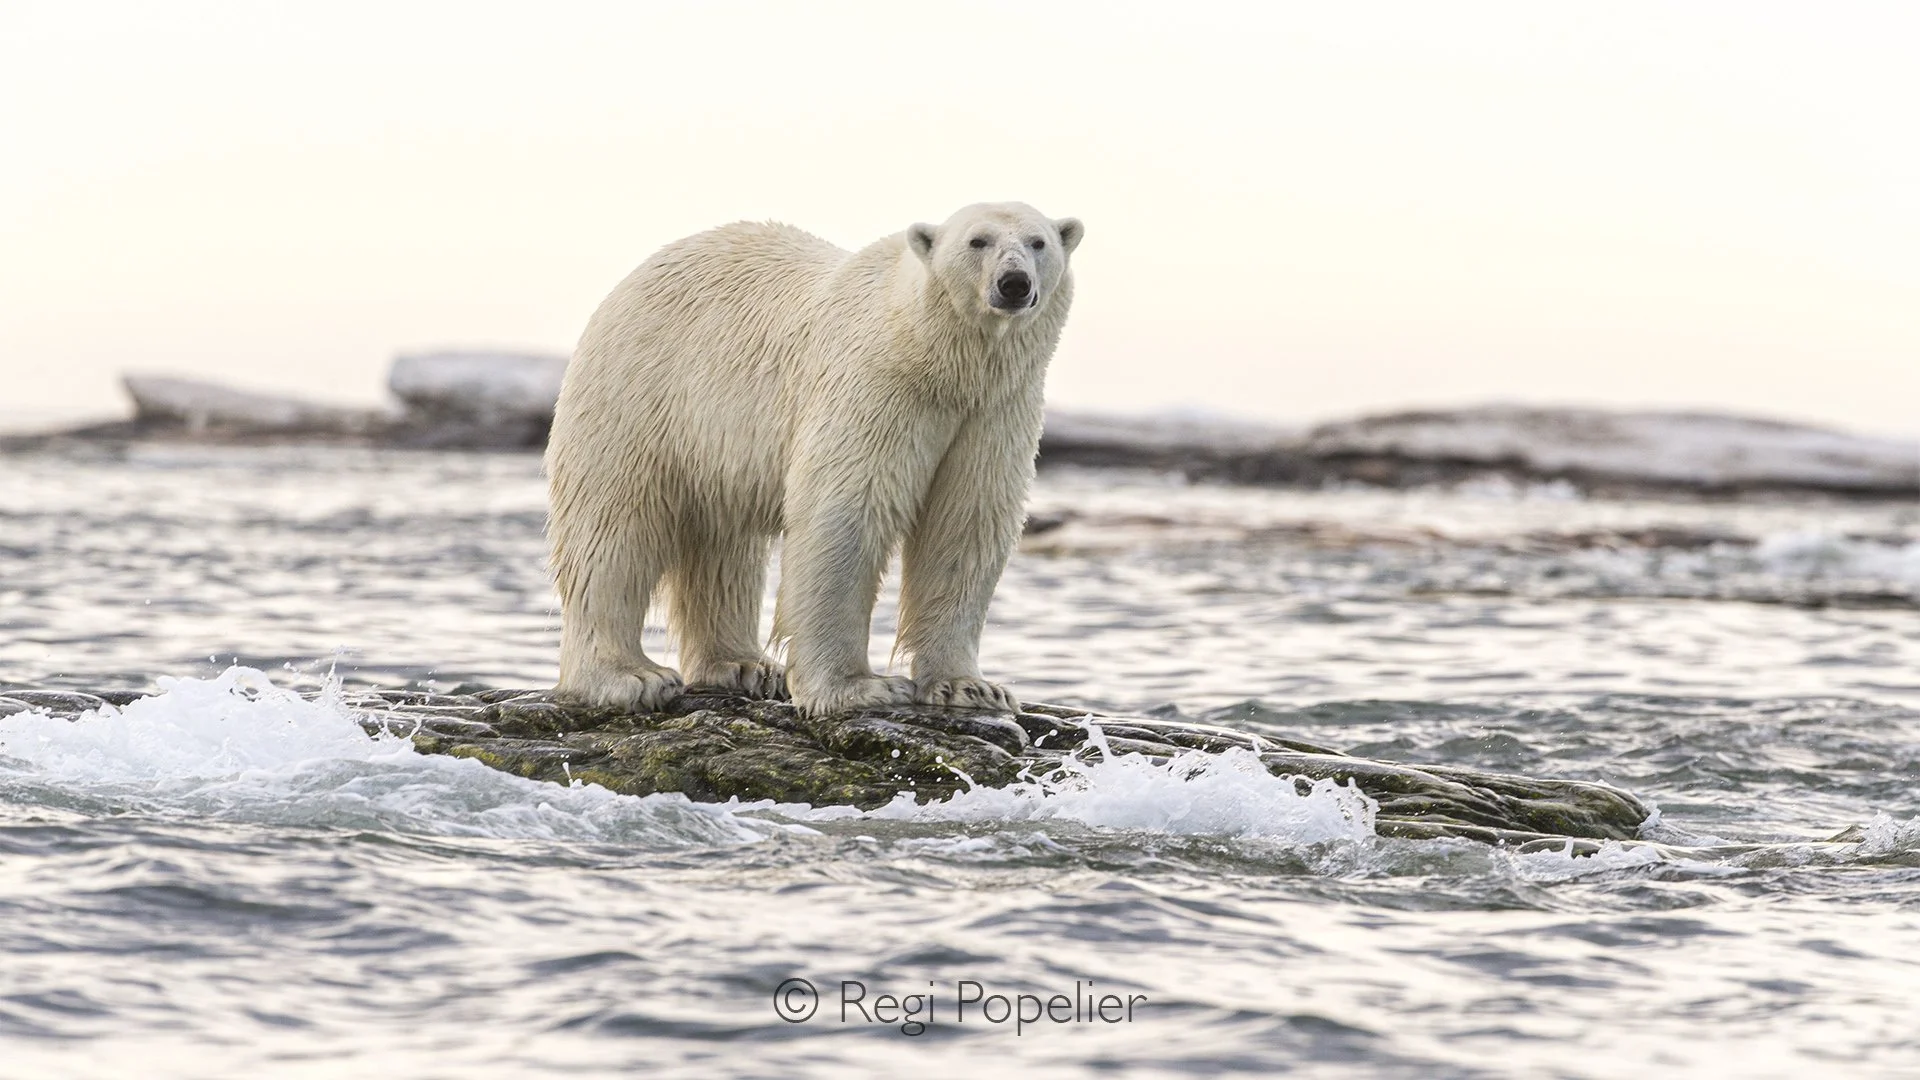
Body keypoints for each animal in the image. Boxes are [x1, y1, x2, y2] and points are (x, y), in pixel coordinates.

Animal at [545, 202, 1083, 716]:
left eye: (1038, 242)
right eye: (978, 241)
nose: (1014, 284)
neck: (935, 357)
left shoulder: (994, 410)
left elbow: (965, 524)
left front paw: (972, 688)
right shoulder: (876, 385)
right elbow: (846, 514)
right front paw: (860, 688)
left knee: (723, 548)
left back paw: (744, 665)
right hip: (643, 395)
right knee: (614, 532)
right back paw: (630, 677)